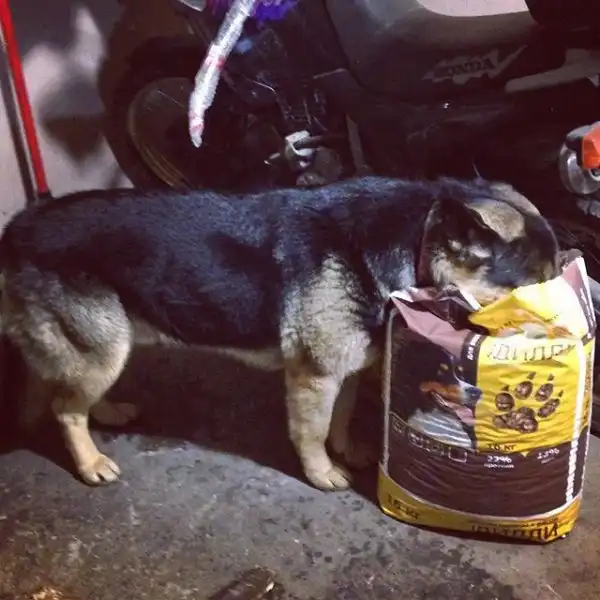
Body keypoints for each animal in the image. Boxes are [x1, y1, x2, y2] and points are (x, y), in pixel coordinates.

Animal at [0, 176, 560, 491]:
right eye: (533, 288)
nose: (567, 337)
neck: (415, 240)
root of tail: (19, 223)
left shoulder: (343, 371)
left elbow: (341, 418)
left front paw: (345, 450)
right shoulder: (314, 376)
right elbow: (311, 430)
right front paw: (321, 472)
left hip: (98, 345)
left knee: (57, 384)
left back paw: (107, 411)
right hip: (104, 347)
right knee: (65, 407)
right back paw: (90, 460)